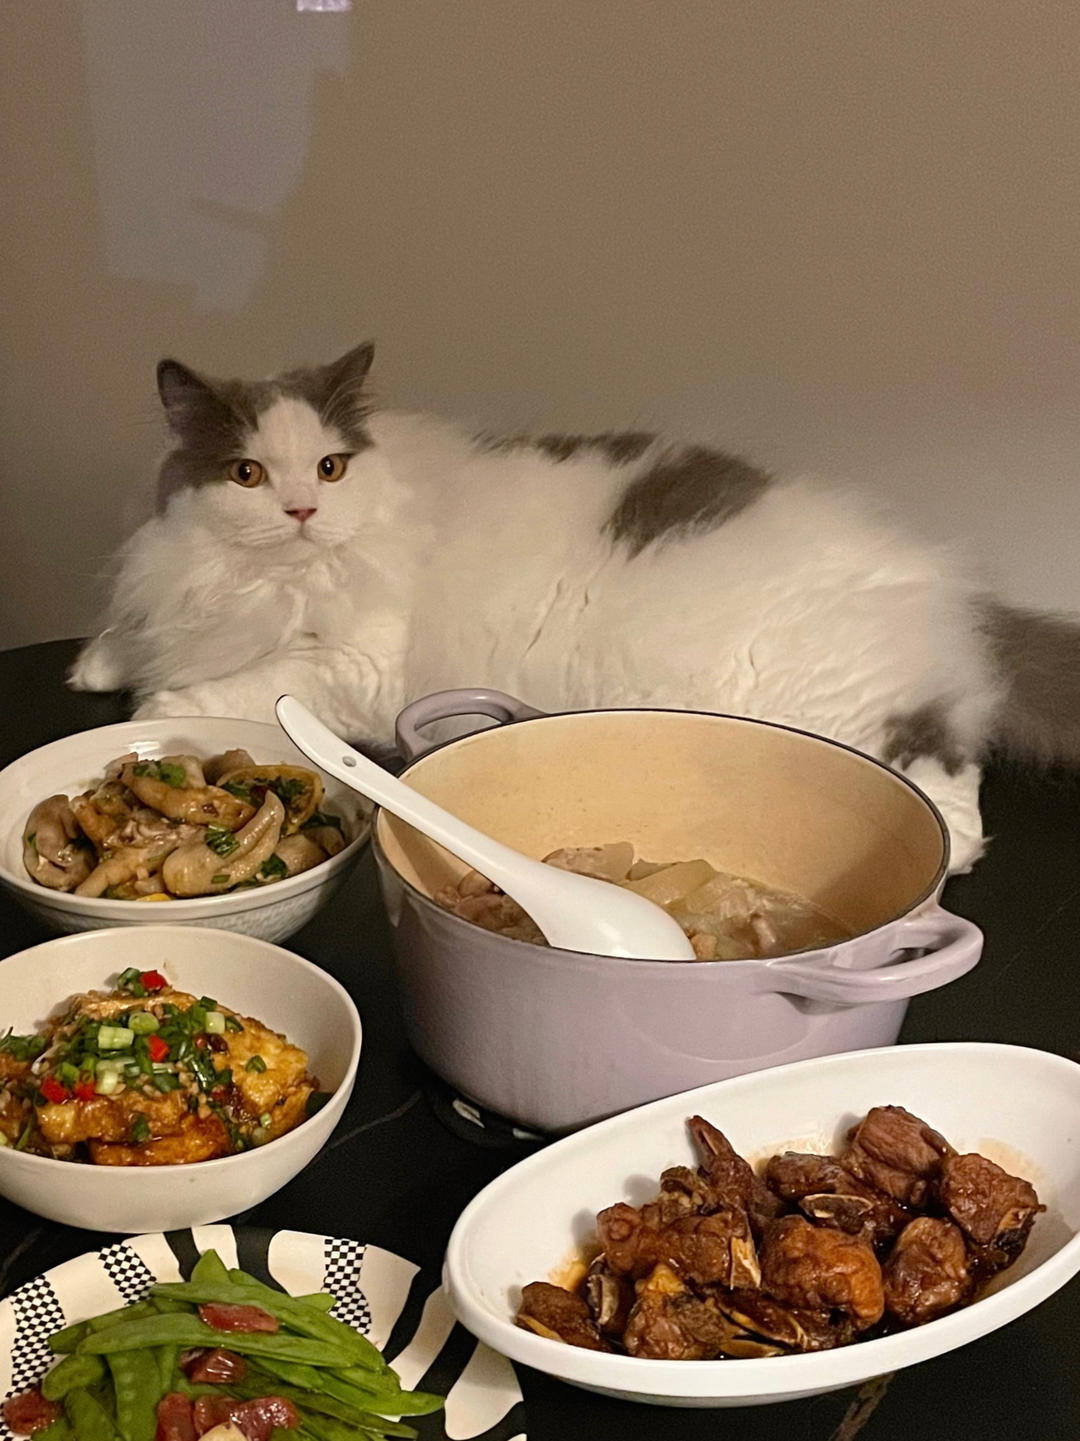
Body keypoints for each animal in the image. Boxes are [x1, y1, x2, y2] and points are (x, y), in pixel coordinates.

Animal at [70, 342, 1080, 873]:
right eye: (246, 473)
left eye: (329, 466)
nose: (300, 511)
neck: (272, 579)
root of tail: (948, 584)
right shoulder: (179, 591)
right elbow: (139, 632)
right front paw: (99, 662)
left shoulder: (352, 665)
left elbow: (239, 686)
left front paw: (152, 711)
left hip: (821, 695)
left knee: (950, 776)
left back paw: (949, 848)